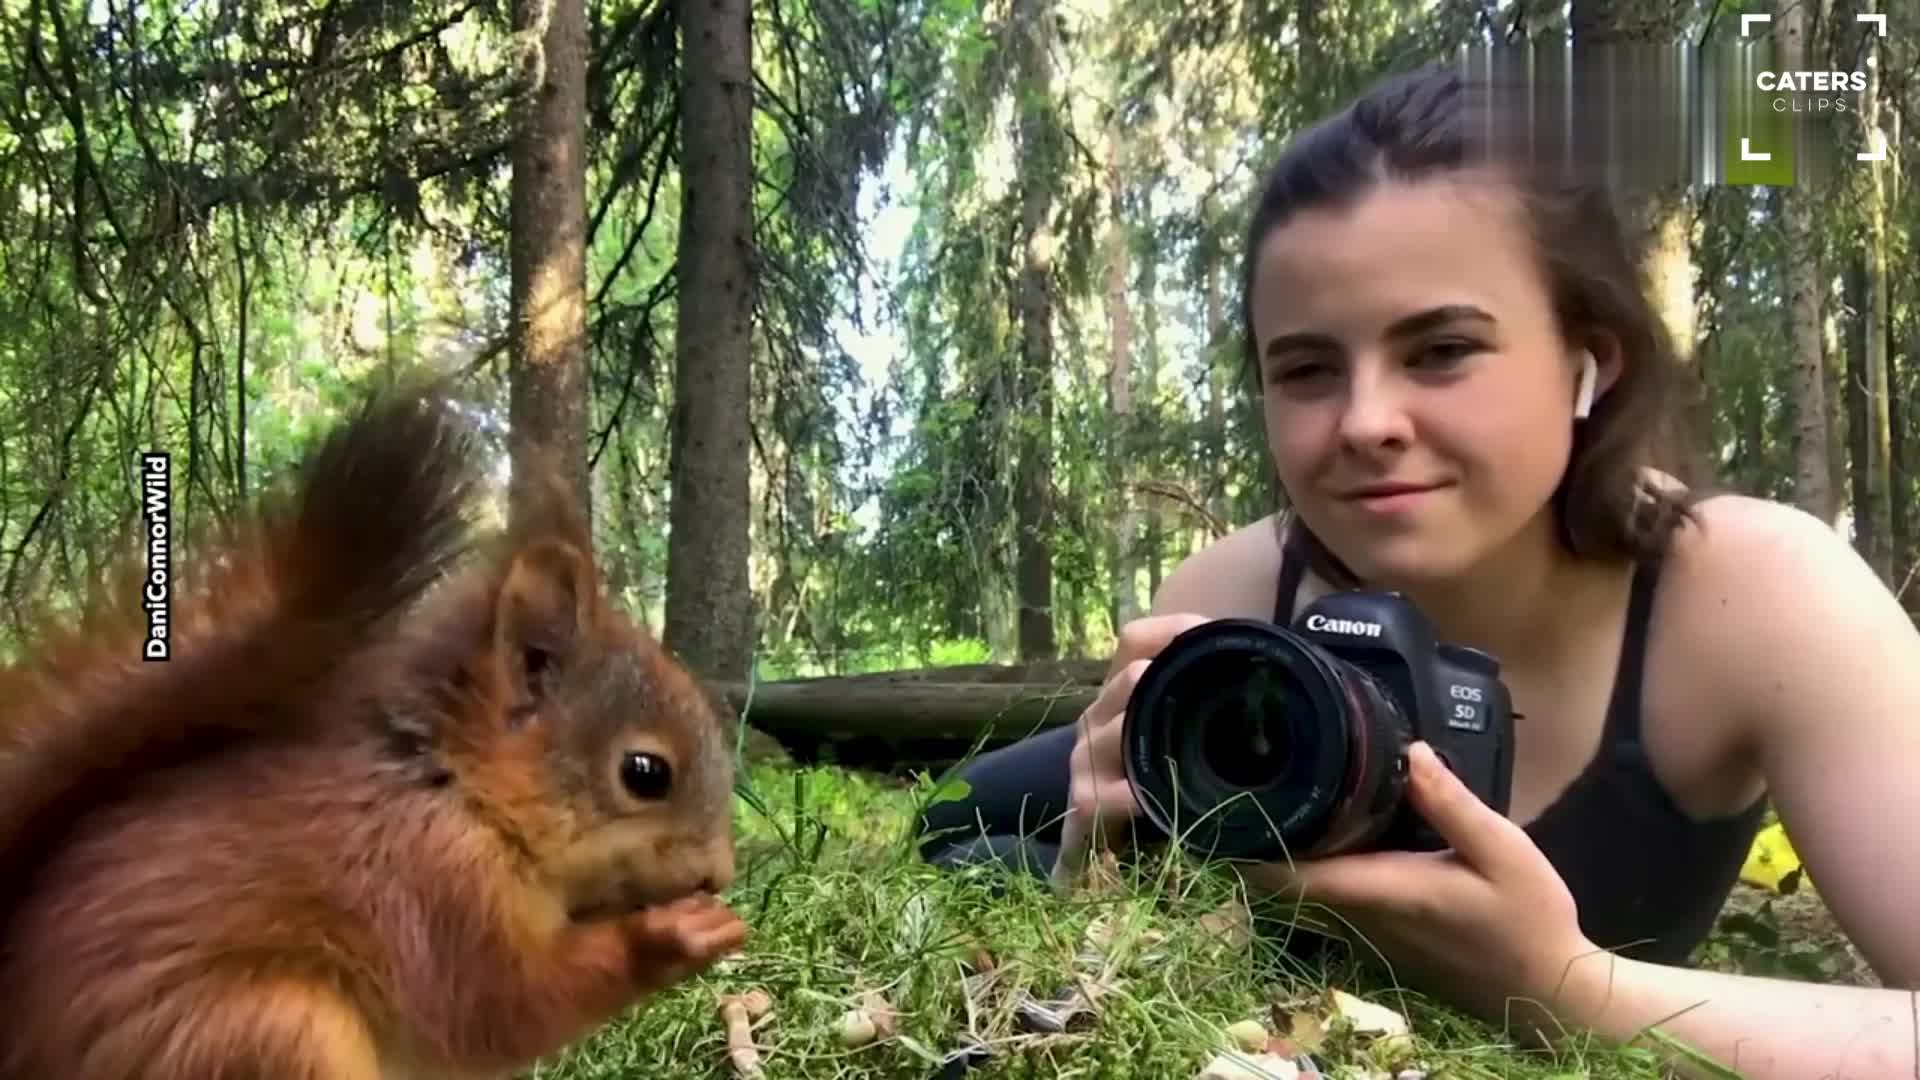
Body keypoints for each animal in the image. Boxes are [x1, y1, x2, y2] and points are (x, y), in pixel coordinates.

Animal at [0, 378, 748, 1080]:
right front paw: (672, 935)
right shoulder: (430, 890)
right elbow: (500, 1008)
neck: (454, 788)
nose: (720, 875)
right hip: (266, 1031)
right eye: (645, 773)